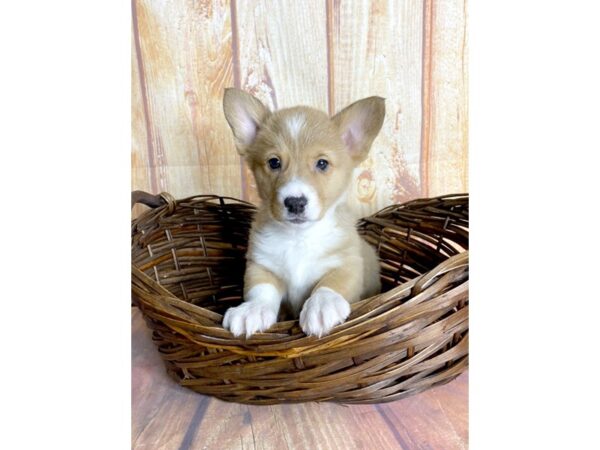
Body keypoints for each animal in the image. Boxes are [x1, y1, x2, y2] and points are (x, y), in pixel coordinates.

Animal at [220, 89, 384, 338]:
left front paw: (322, 306)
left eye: (322, 163)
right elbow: (261, 289)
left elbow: (330, 284)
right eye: (274, 162)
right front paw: (251, 310)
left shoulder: (348, 263)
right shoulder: (261, 264)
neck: (299, 237)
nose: (295, 203)